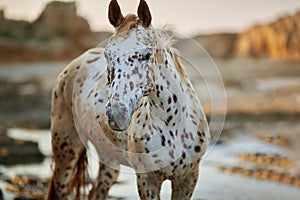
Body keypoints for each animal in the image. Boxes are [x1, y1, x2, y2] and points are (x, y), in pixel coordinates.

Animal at [47, 0, 210, 199]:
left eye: (146, 55)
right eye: (108, 54)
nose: (116, 115)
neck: (173, 126)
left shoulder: (187, 179)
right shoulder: (146, 180)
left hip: (108, 159)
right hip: (66, 147)